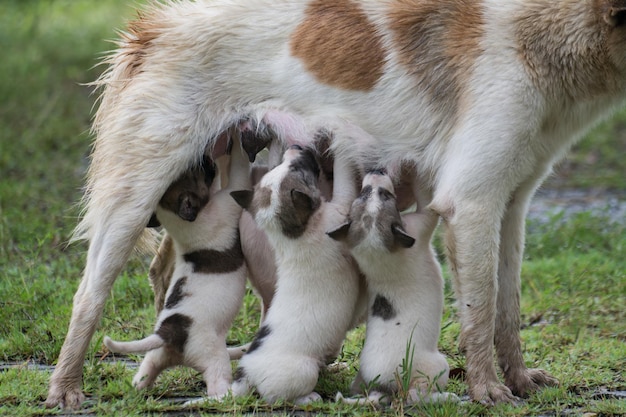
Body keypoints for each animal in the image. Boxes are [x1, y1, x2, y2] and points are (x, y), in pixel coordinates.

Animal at [102, 135, 249, 398]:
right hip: (214, 357)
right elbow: (239, 172)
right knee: (217, 384)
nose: (203, 155)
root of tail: (169, 331)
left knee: (145, 373)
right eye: (196, 170)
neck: (175, 218)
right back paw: (227, 396)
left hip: (156, 357)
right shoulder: (228, 197)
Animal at [228, 144, 364, 404]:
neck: (291, 236)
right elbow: (344, 182)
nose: (296, 146)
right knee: (277, 397)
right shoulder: (339, 208)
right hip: (302, 372)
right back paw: (310, 398)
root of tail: (246, 374)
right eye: (299, 168)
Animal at [326, 168, 454, 404]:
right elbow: (426, 202)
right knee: (415, 396)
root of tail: (381, 388)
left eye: (364, 192)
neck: (375, 252)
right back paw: (447, 397)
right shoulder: (420, 223)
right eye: (386, 195)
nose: (376, 170)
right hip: (436, 366)